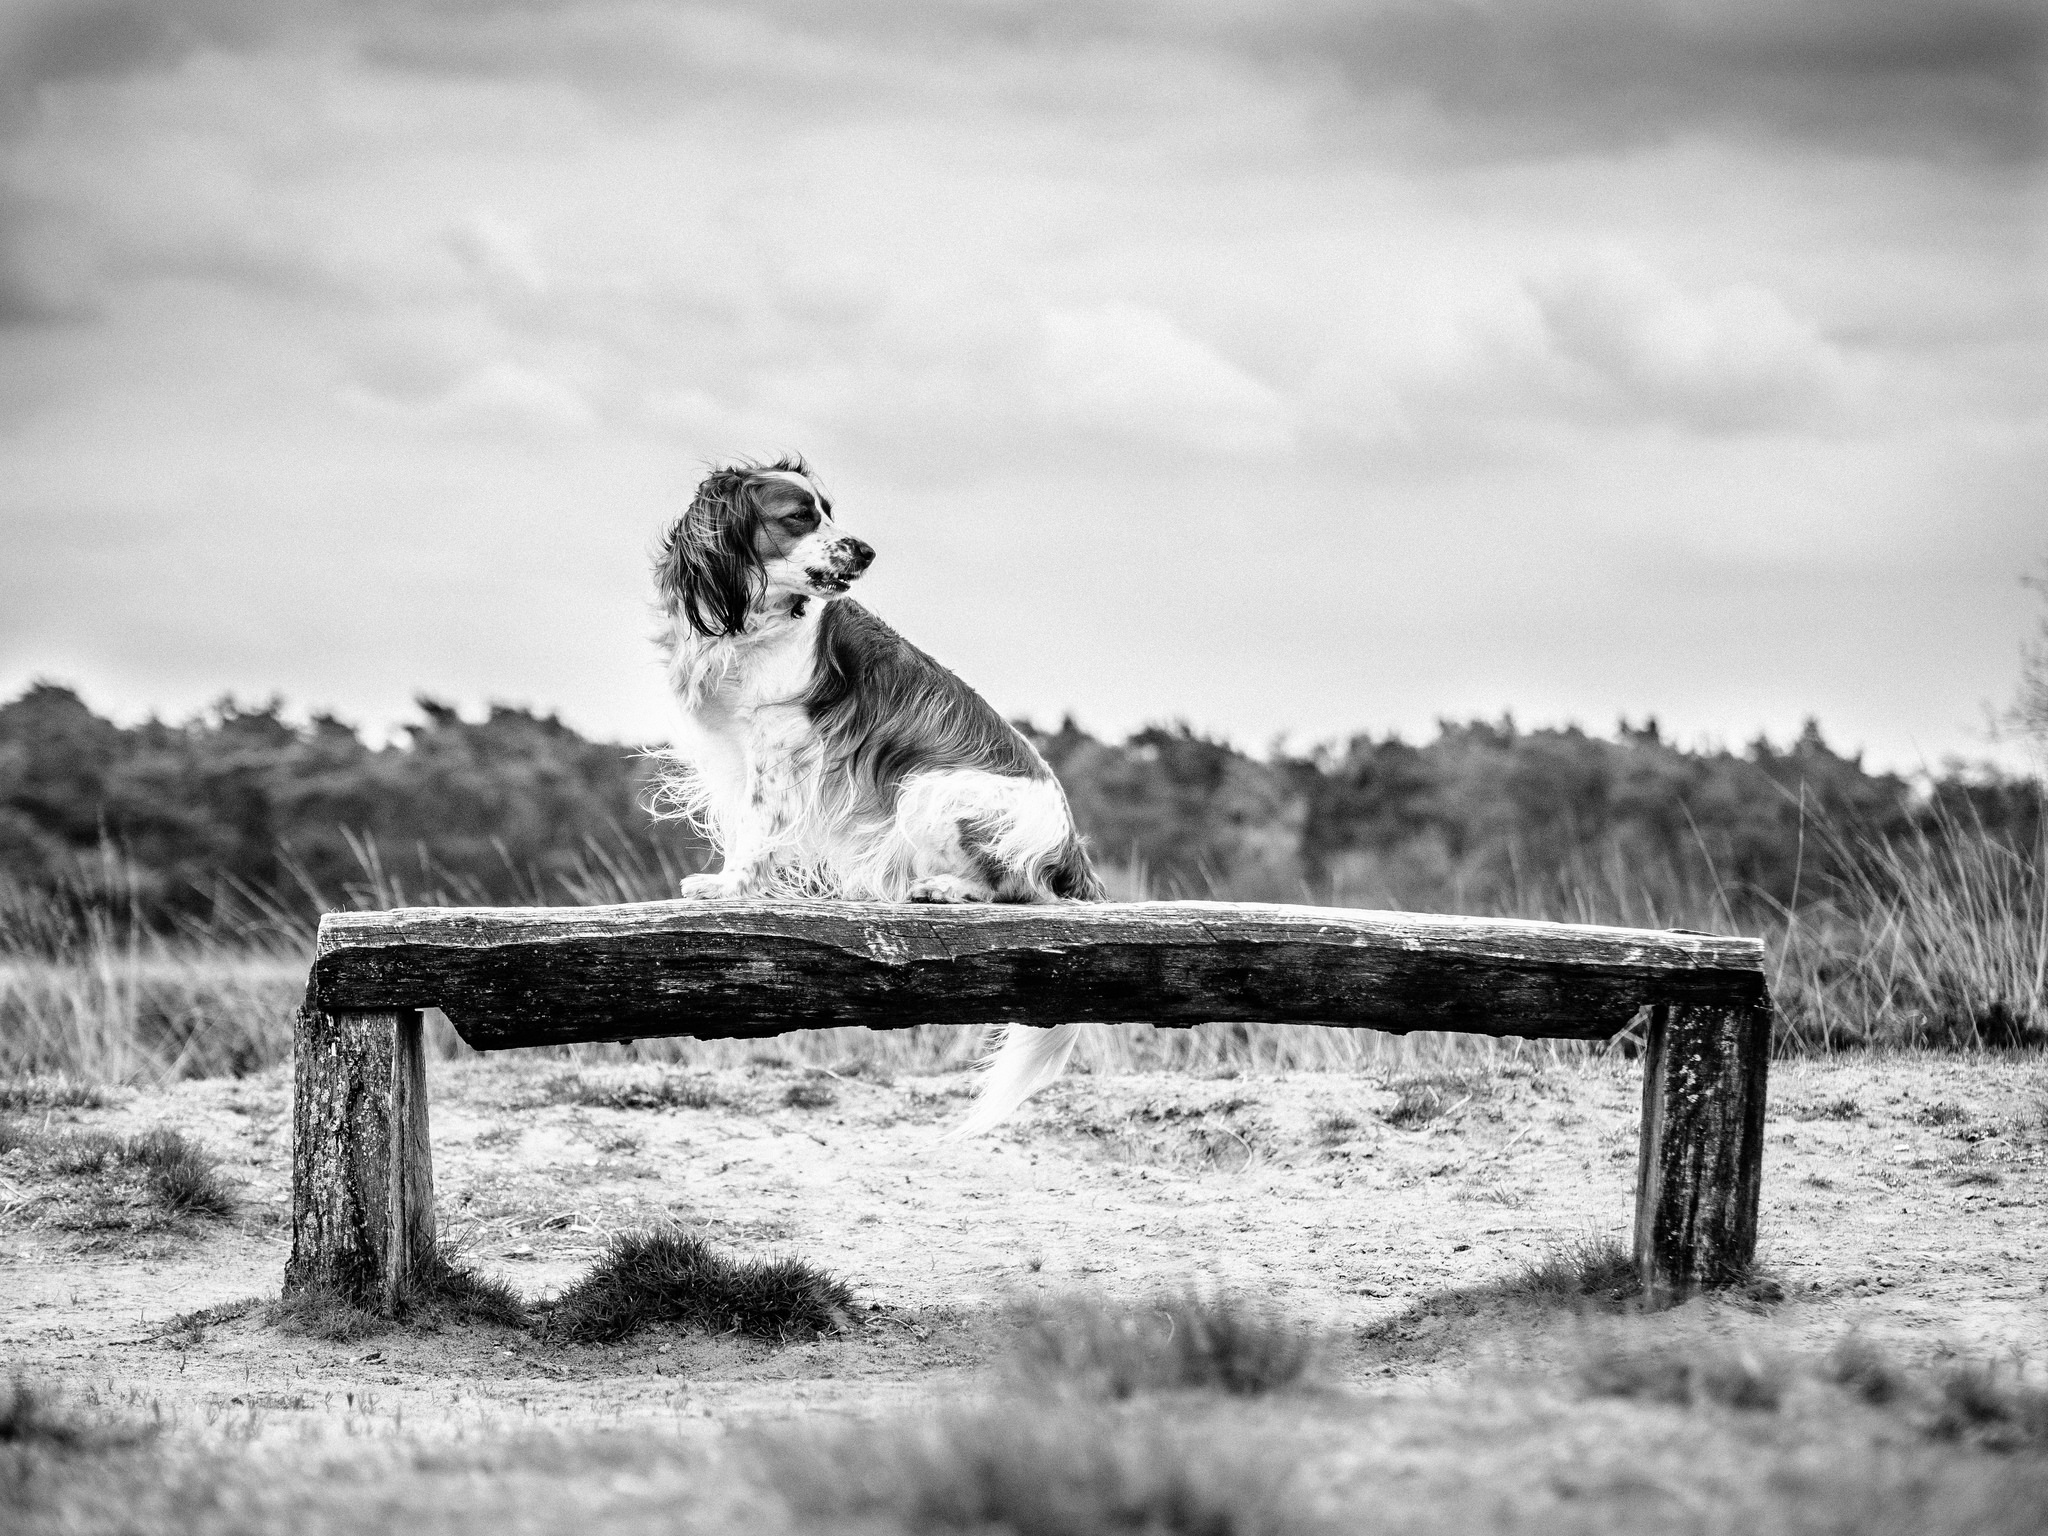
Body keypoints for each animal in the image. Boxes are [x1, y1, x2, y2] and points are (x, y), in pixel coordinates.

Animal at [655, 450, 1105, 1138]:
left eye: (826, 512)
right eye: (799, 516)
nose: (865, 551)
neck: (756, 618)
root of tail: (1068, 846)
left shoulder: (776, 743)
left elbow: (757, 832)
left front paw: (728, 888)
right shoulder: (738, 751)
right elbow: (747, 828)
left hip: (928, 789)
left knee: (1018, 891)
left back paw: (944, 890)